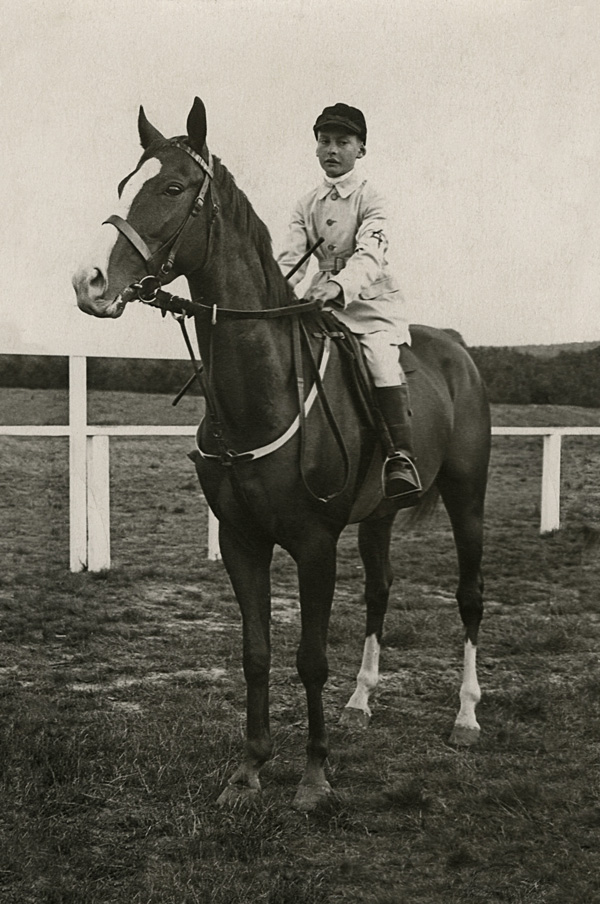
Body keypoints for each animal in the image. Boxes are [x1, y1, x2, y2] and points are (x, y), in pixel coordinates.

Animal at [72, 97, 491, 811]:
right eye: (125, 184)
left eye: (174, 187)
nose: (89, 281)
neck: (263, 389)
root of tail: (456, 345)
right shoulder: (242, 539)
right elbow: (257, 653)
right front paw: (249, 770)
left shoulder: (314, 544)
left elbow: (309, 659)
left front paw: (315, 778)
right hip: (379, 516)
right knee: (380, 591)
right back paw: (361, 702)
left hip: (467, 499)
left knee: (468, 596)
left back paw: (465, 716)